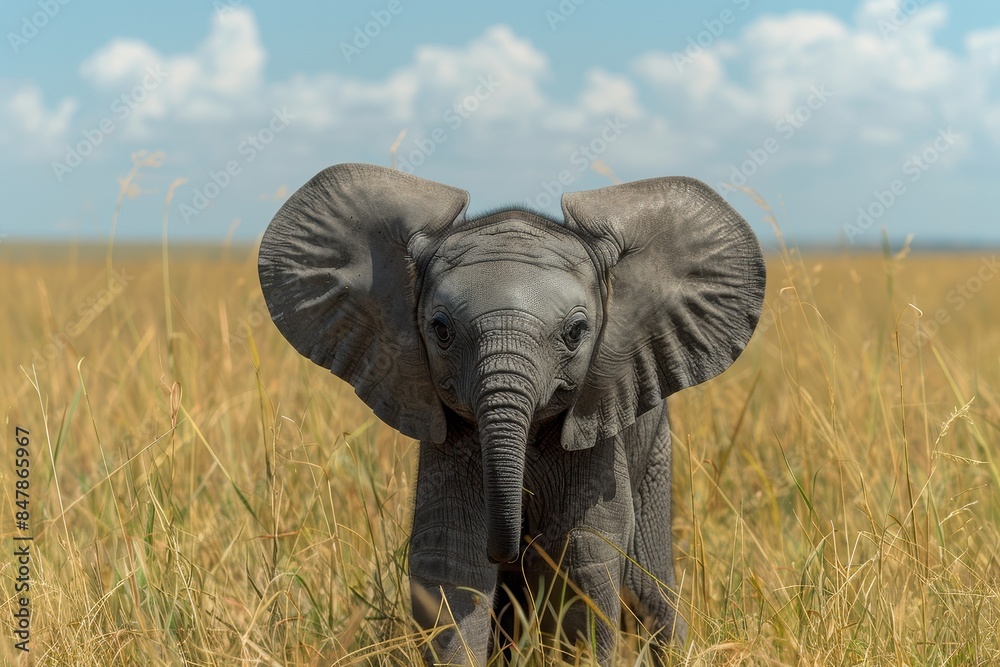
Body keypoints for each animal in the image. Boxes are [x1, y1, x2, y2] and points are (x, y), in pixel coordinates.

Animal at [258, 163, 765, 665]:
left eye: (576, 331)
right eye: (440, 329)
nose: (509, 550)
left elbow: (580, 558)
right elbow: (452, 562)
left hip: (655, 447)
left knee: (647, 586)